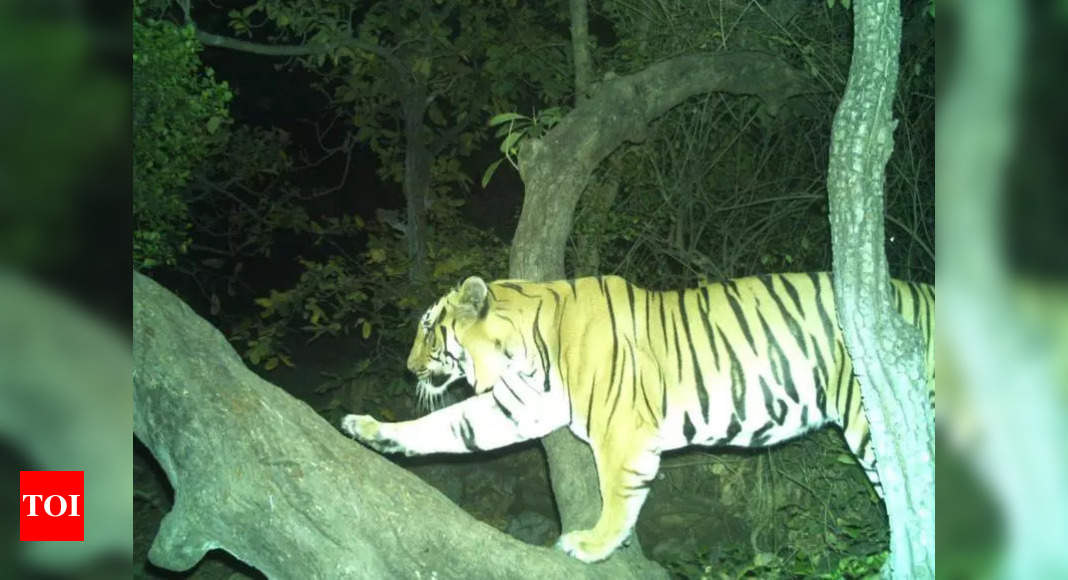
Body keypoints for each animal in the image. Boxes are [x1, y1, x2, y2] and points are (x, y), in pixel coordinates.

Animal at [341, 272, 935, 563]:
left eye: (427, 328)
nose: (407, 367)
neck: (523, 348)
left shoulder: (620, 431)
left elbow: (619, 496)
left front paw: (591, 546)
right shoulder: (517, 408)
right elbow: (446, 428)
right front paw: (366, 429)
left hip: (875, 425)